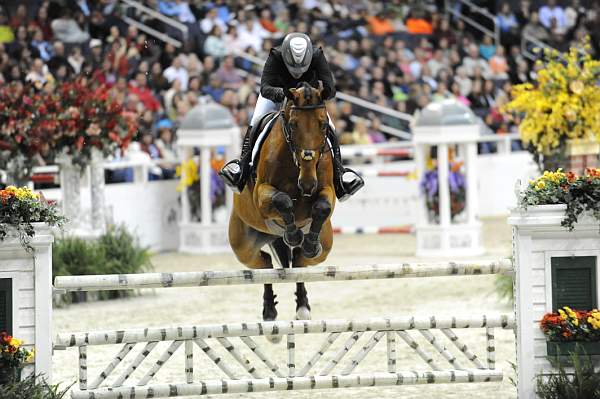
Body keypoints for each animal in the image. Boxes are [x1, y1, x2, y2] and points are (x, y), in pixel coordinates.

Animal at [227, 82, 336, 332]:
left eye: (323, 124)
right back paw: (269, 312)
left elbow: (322, 207)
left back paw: (303, 305)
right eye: (293, 125)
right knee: (265, 264)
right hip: (243, 246)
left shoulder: (328, 190)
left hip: (325, 246)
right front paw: (293, 234)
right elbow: (283, 201)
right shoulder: (261, 194)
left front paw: (306, 241)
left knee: (299, 260)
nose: (307, 183)